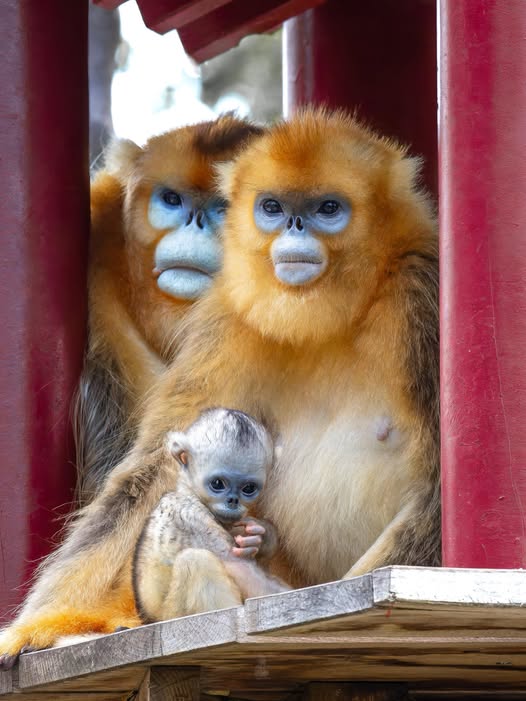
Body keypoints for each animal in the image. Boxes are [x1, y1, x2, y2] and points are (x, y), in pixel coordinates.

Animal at [133, 408, 289, 623]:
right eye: (217, 484)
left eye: (248, 488)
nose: (233, 501)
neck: (189, 493)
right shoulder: (189, 516)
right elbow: (240, 569)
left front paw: (258, 537)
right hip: (173, 614)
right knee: (196, 560)